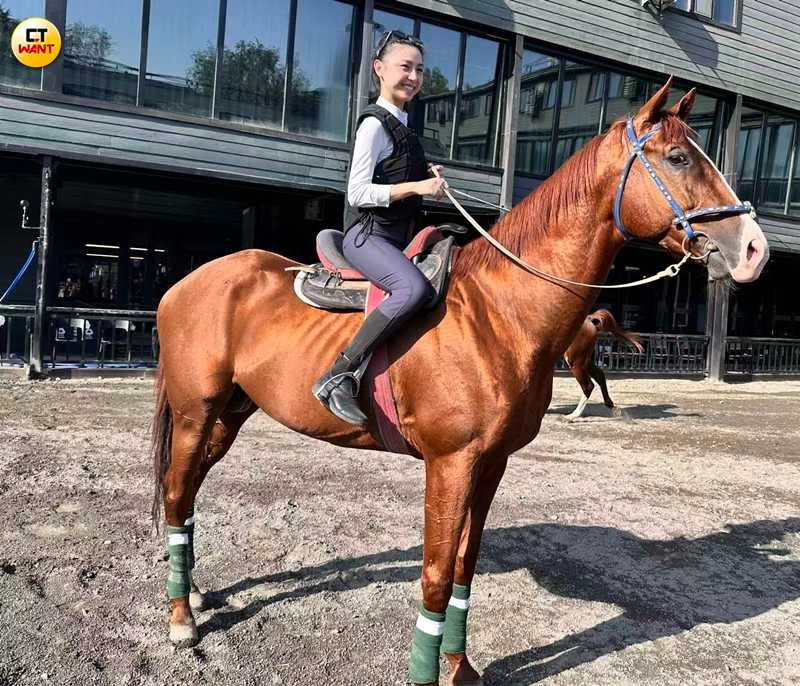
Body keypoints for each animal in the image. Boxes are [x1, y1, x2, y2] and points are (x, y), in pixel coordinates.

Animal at [150, 78, 769, 686]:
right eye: (678, 157)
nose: (754, 249)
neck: (499, 312)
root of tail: (187, 283)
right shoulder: (450, 463)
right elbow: (436, 574)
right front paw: (429, 672)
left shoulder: (491, 464)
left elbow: (465, 568)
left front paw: (459, 667)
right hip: (196, 412)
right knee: (178, 492)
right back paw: (181, 618)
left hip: (228, 415)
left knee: (189, 492)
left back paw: (195, 591)